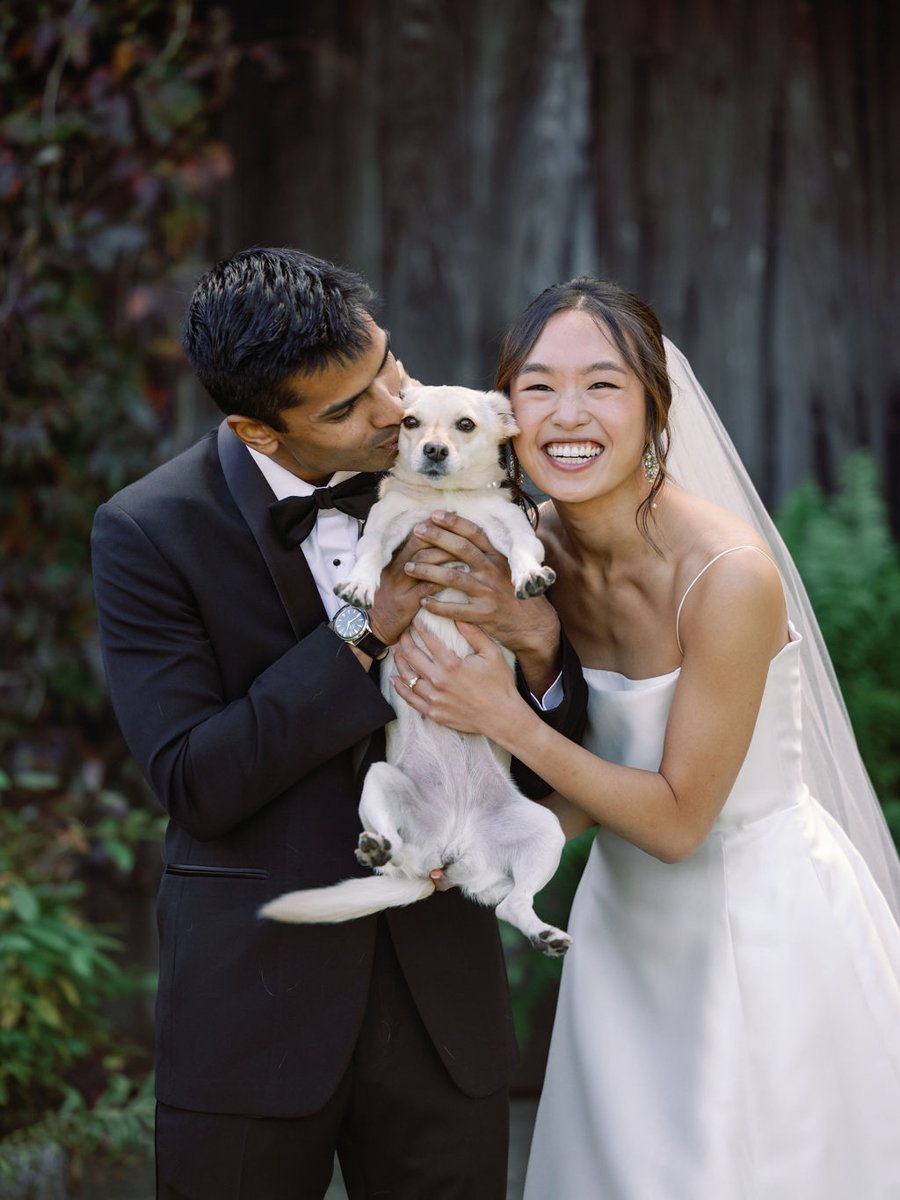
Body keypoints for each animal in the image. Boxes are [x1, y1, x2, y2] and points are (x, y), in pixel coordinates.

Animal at [262, 384, 571, 955]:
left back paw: (543, 934)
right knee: (398, 860)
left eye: (466, 425)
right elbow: (370, 556)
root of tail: (451, 849)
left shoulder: (510, 529)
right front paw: (360, 585)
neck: (443, 501)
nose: (432, 449)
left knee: (514, 904)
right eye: (410, 422)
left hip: (543, 832)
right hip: (381, 782)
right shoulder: (387, 529)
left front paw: (530, 577)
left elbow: (522, 549)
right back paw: (379, 847)